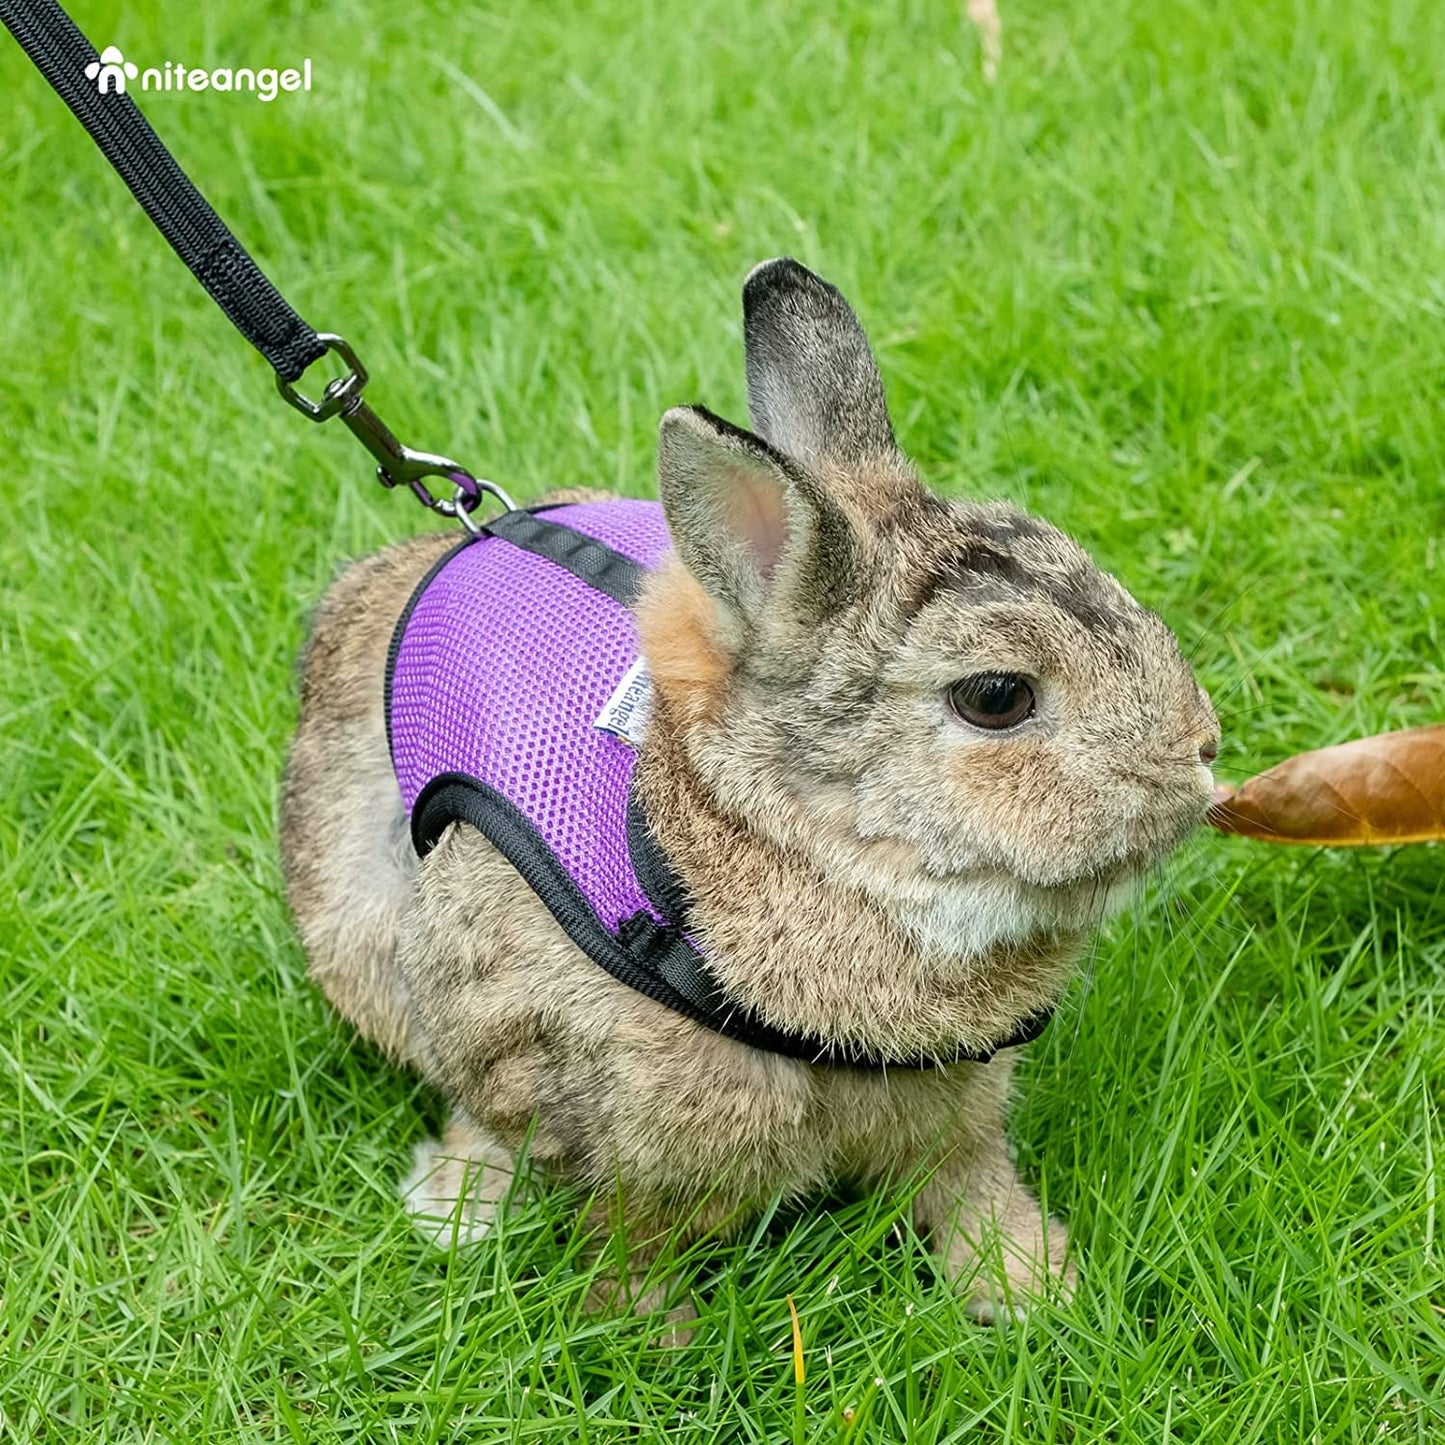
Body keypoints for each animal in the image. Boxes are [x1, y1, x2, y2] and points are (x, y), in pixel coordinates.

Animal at [281, 257, 1220, 1327]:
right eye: (996, 697)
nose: (1203, 750)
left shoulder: (956, 1110)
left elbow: (970, 1182)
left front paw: (1030, 1287)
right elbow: (602, 1212)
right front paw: (647, 1328)